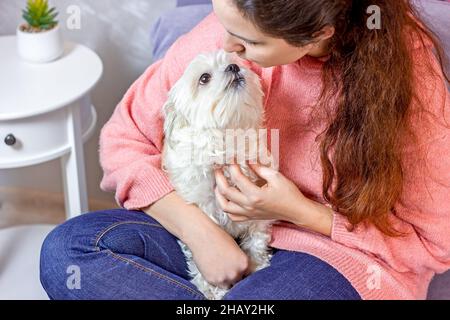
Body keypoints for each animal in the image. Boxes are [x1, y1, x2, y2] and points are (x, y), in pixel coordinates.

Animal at [162, 50, 274, 300]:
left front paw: (257, 265)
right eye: (204, 78)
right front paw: (215, 292)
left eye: (234, 62)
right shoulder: (202, 213)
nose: (234, 67)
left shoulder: (259, 212)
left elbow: (256, 240)